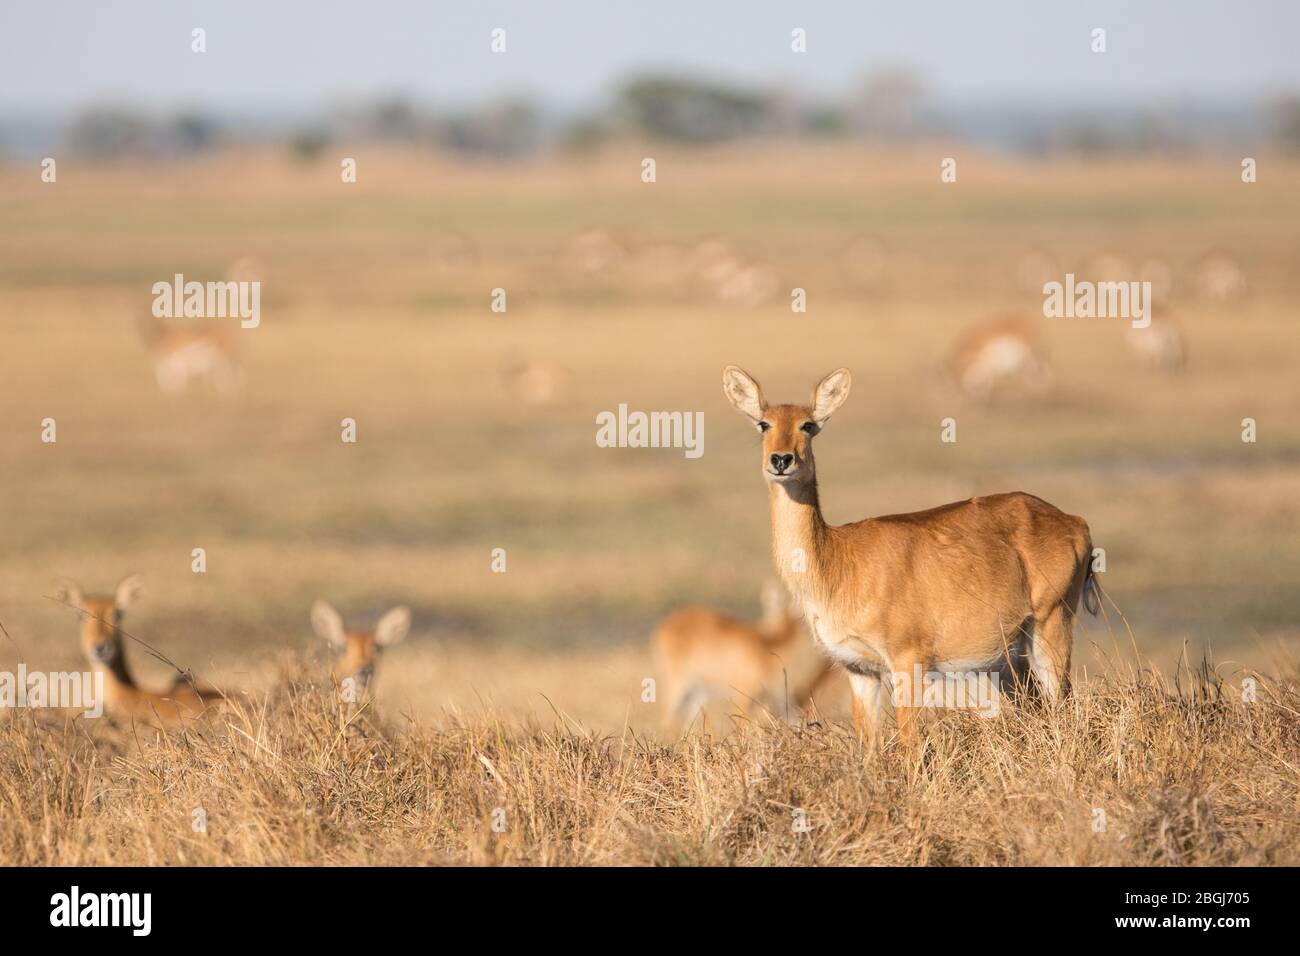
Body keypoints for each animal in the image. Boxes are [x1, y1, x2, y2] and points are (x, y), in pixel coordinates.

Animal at [650, 580, 832, 728]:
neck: (767, 647)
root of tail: (666, 624)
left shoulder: (778, 698)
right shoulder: (742, 697)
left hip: (697, 694)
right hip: (676, 685)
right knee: (665, 719)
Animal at [722, 366, 1097, 749]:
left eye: (808, 424)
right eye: (763, 423)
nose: (781, 460)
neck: (839, 562)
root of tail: (1075, 521)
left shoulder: (908, 662)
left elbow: (910, 746)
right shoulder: (859, 670)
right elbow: (870, 747)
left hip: (1050, 629)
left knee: (1064, 706)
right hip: (1008, 660)